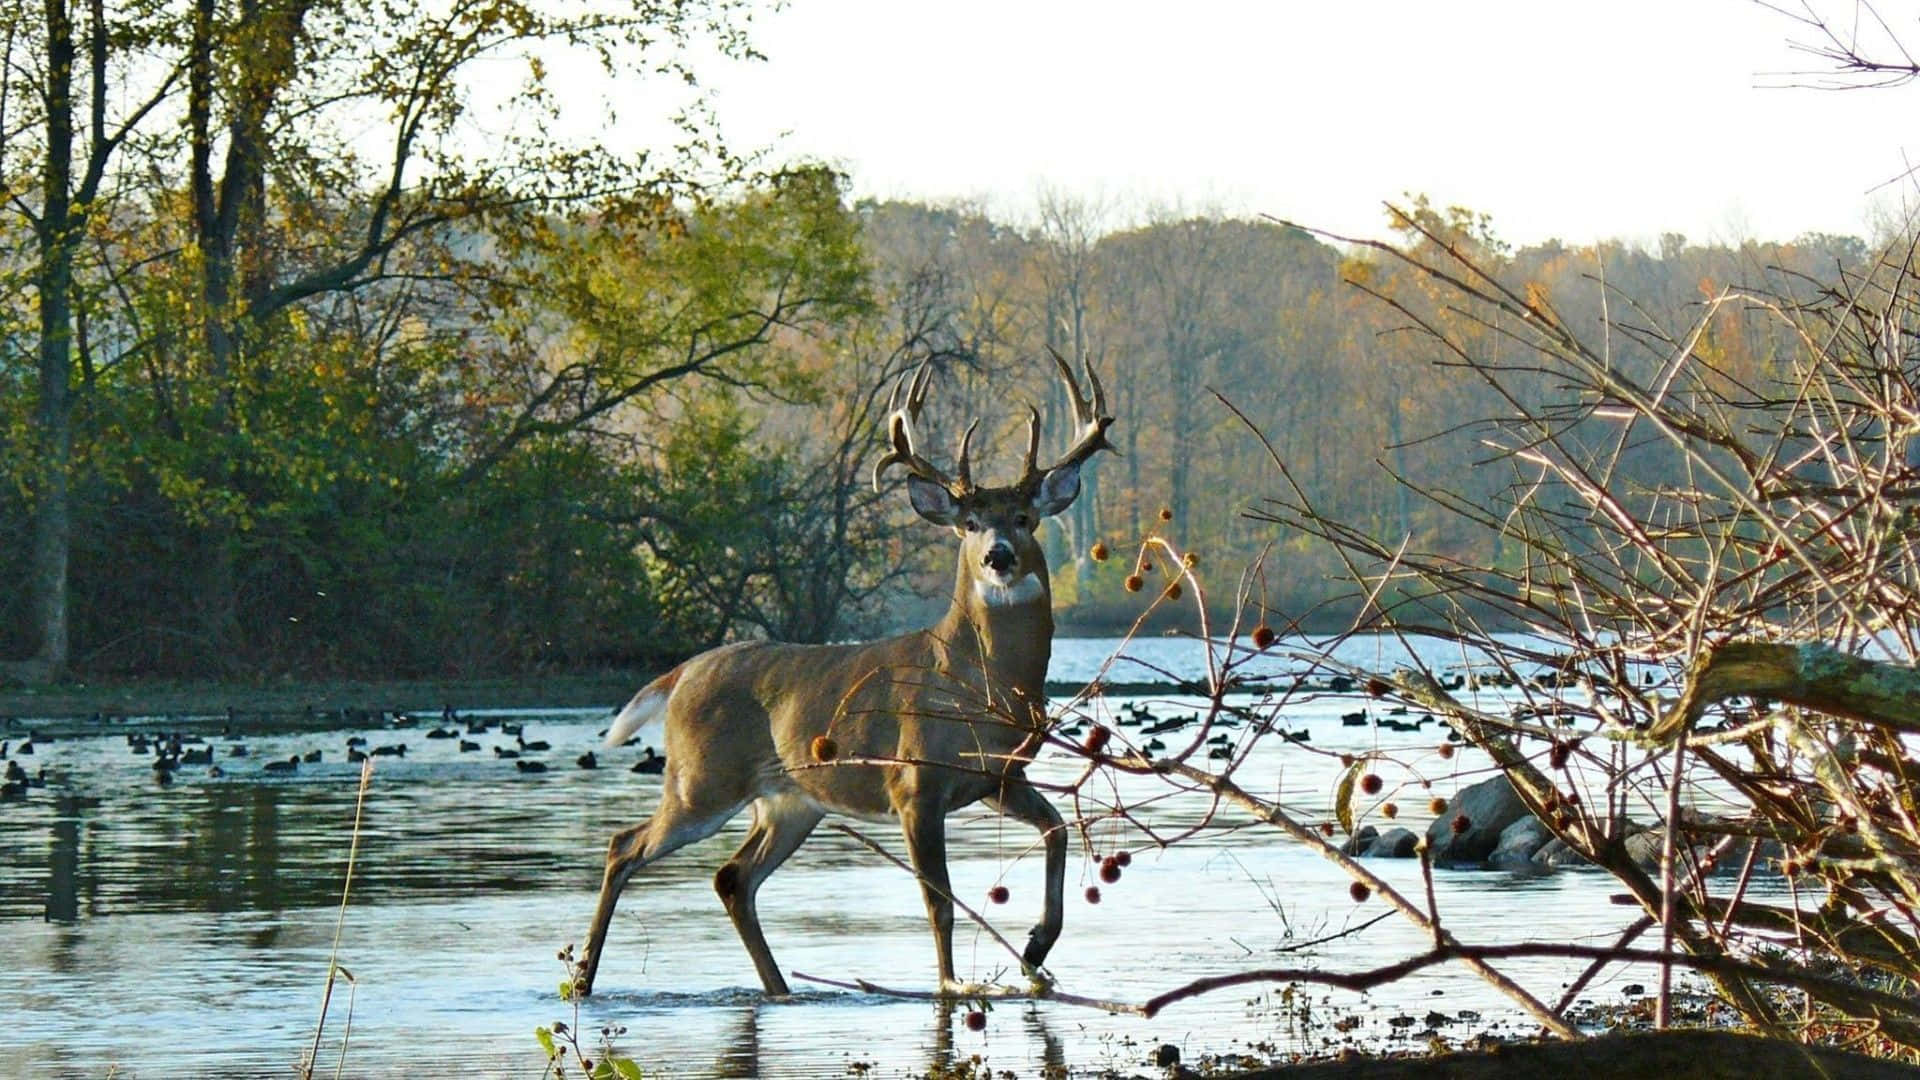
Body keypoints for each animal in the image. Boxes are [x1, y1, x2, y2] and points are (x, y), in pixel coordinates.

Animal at [576, 353, 1121, 991]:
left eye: (1024, 517)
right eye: (966, 523)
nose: (998, 555)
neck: (978, 683)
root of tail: (681, 673)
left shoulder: (998, 778)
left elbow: (1058, 829)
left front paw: (1036, 949)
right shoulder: (914, 781)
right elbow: (938, 900)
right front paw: (951, 985)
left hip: (790, 800)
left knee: (732, 877)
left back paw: (781, 989)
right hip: (702, 779)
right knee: (625, 845)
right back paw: (583, 978)